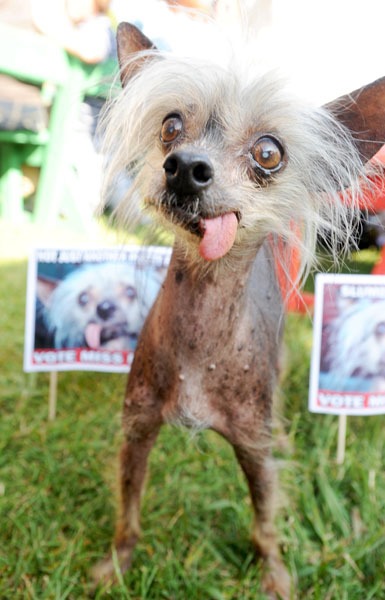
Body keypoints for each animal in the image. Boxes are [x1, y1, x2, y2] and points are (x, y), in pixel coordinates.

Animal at [91, 21, 384, 596]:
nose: (184, 167)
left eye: (268, 153)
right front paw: (116, 563)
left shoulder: (253, 447)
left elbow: (266, 522)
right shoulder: (137, 429)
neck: (202, 333)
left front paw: (274, 575)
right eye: (171, 126)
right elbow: (128, 510)